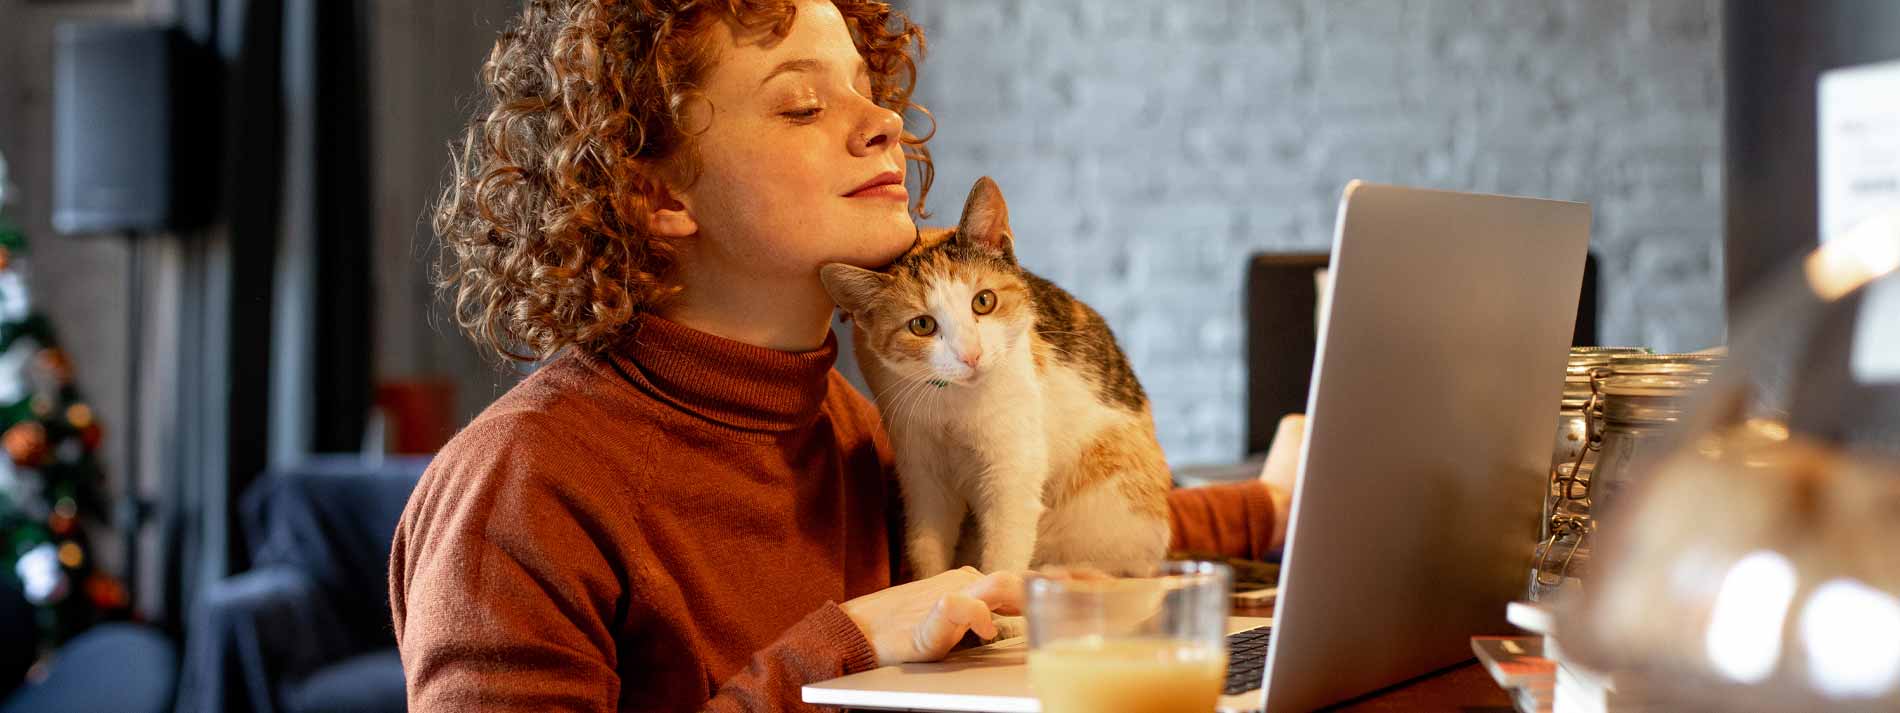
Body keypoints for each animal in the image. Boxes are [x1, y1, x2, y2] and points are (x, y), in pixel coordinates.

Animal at [820, 175, 1170, 578]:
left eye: (983, 301)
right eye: (922, 325)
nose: (970, 354)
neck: (953, 404)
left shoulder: (1013, 466)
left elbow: (1005, 548)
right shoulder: (922, 471)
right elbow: (927, 545)